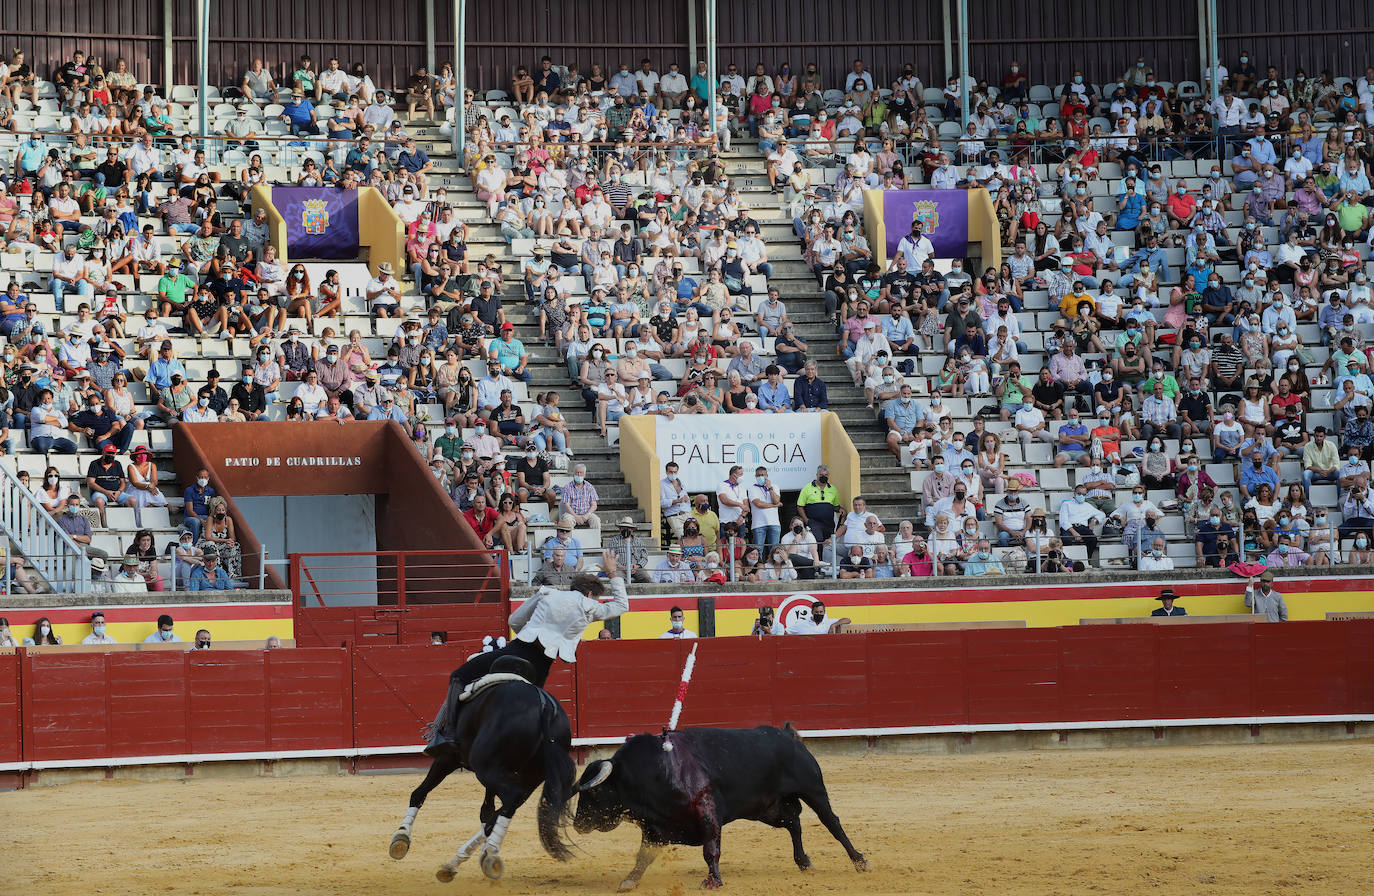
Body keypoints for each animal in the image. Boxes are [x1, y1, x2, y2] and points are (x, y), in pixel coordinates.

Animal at [390, 670, 577, 879]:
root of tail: (544, 706)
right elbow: (486, 811)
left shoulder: (448, 758)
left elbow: (419, 792)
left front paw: (401, 837)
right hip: (528, 777)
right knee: (504, 809)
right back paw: (464, 860)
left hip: (484, 766)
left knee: (509, 799)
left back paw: (490, 854)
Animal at [571, 725, 868, 890]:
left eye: (593, 791)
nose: (577, 824)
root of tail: (787, 734)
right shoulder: (656, 827)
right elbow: (643, 856)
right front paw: (629, 881)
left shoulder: (707, 814)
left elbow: (710, 850)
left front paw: (712, 881)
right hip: (767, 808)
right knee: (793, 823)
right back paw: (804, 861)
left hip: (813, 789)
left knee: (832, 822)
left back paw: (859, 861)